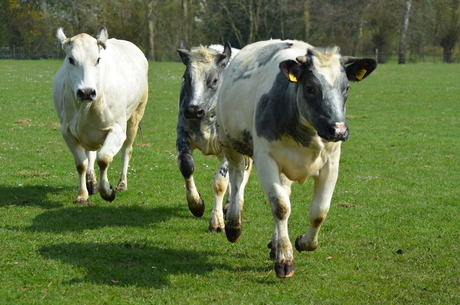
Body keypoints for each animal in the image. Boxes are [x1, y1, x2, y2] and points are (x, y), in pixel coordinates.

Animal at [53, 27, 148, 203]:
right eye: (71, 59)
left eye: (98, 59)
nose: (86, 92)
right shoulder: (67, 131)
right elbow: (81, 164)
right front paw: (82, 195)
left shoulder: (117, 129)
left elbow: (104, 159)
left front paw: (107, 191)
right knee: (90, 154)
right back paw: (91, 182)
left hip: (135, 115)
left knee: (127, 150)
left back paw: (121, 184)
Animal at [217, 39, 376, 276]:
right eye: (311, 88)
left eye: (346, 88)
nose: (338, 129)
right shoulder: (265, 159)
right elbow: (281, 207)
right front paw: (285, 259)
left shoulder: (331, 164)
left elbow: (319, 211)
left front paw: (302, 242)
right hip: (229, 141)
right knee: (237, 181)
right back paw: (234, 225)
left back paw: (274, 244)